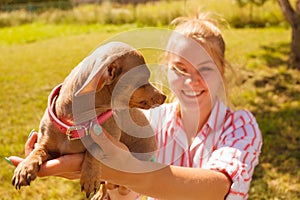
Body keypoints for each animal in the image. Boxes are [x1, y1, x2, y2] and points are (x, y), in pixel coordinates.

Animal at [12, 41, 166, 199]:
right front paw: (25, 166)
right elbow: (38, 150)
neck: (74, 126)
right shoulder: (46, 143)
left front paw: (90, 177)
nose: (164, 96)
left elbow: (95, 149)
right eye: (143, 80)